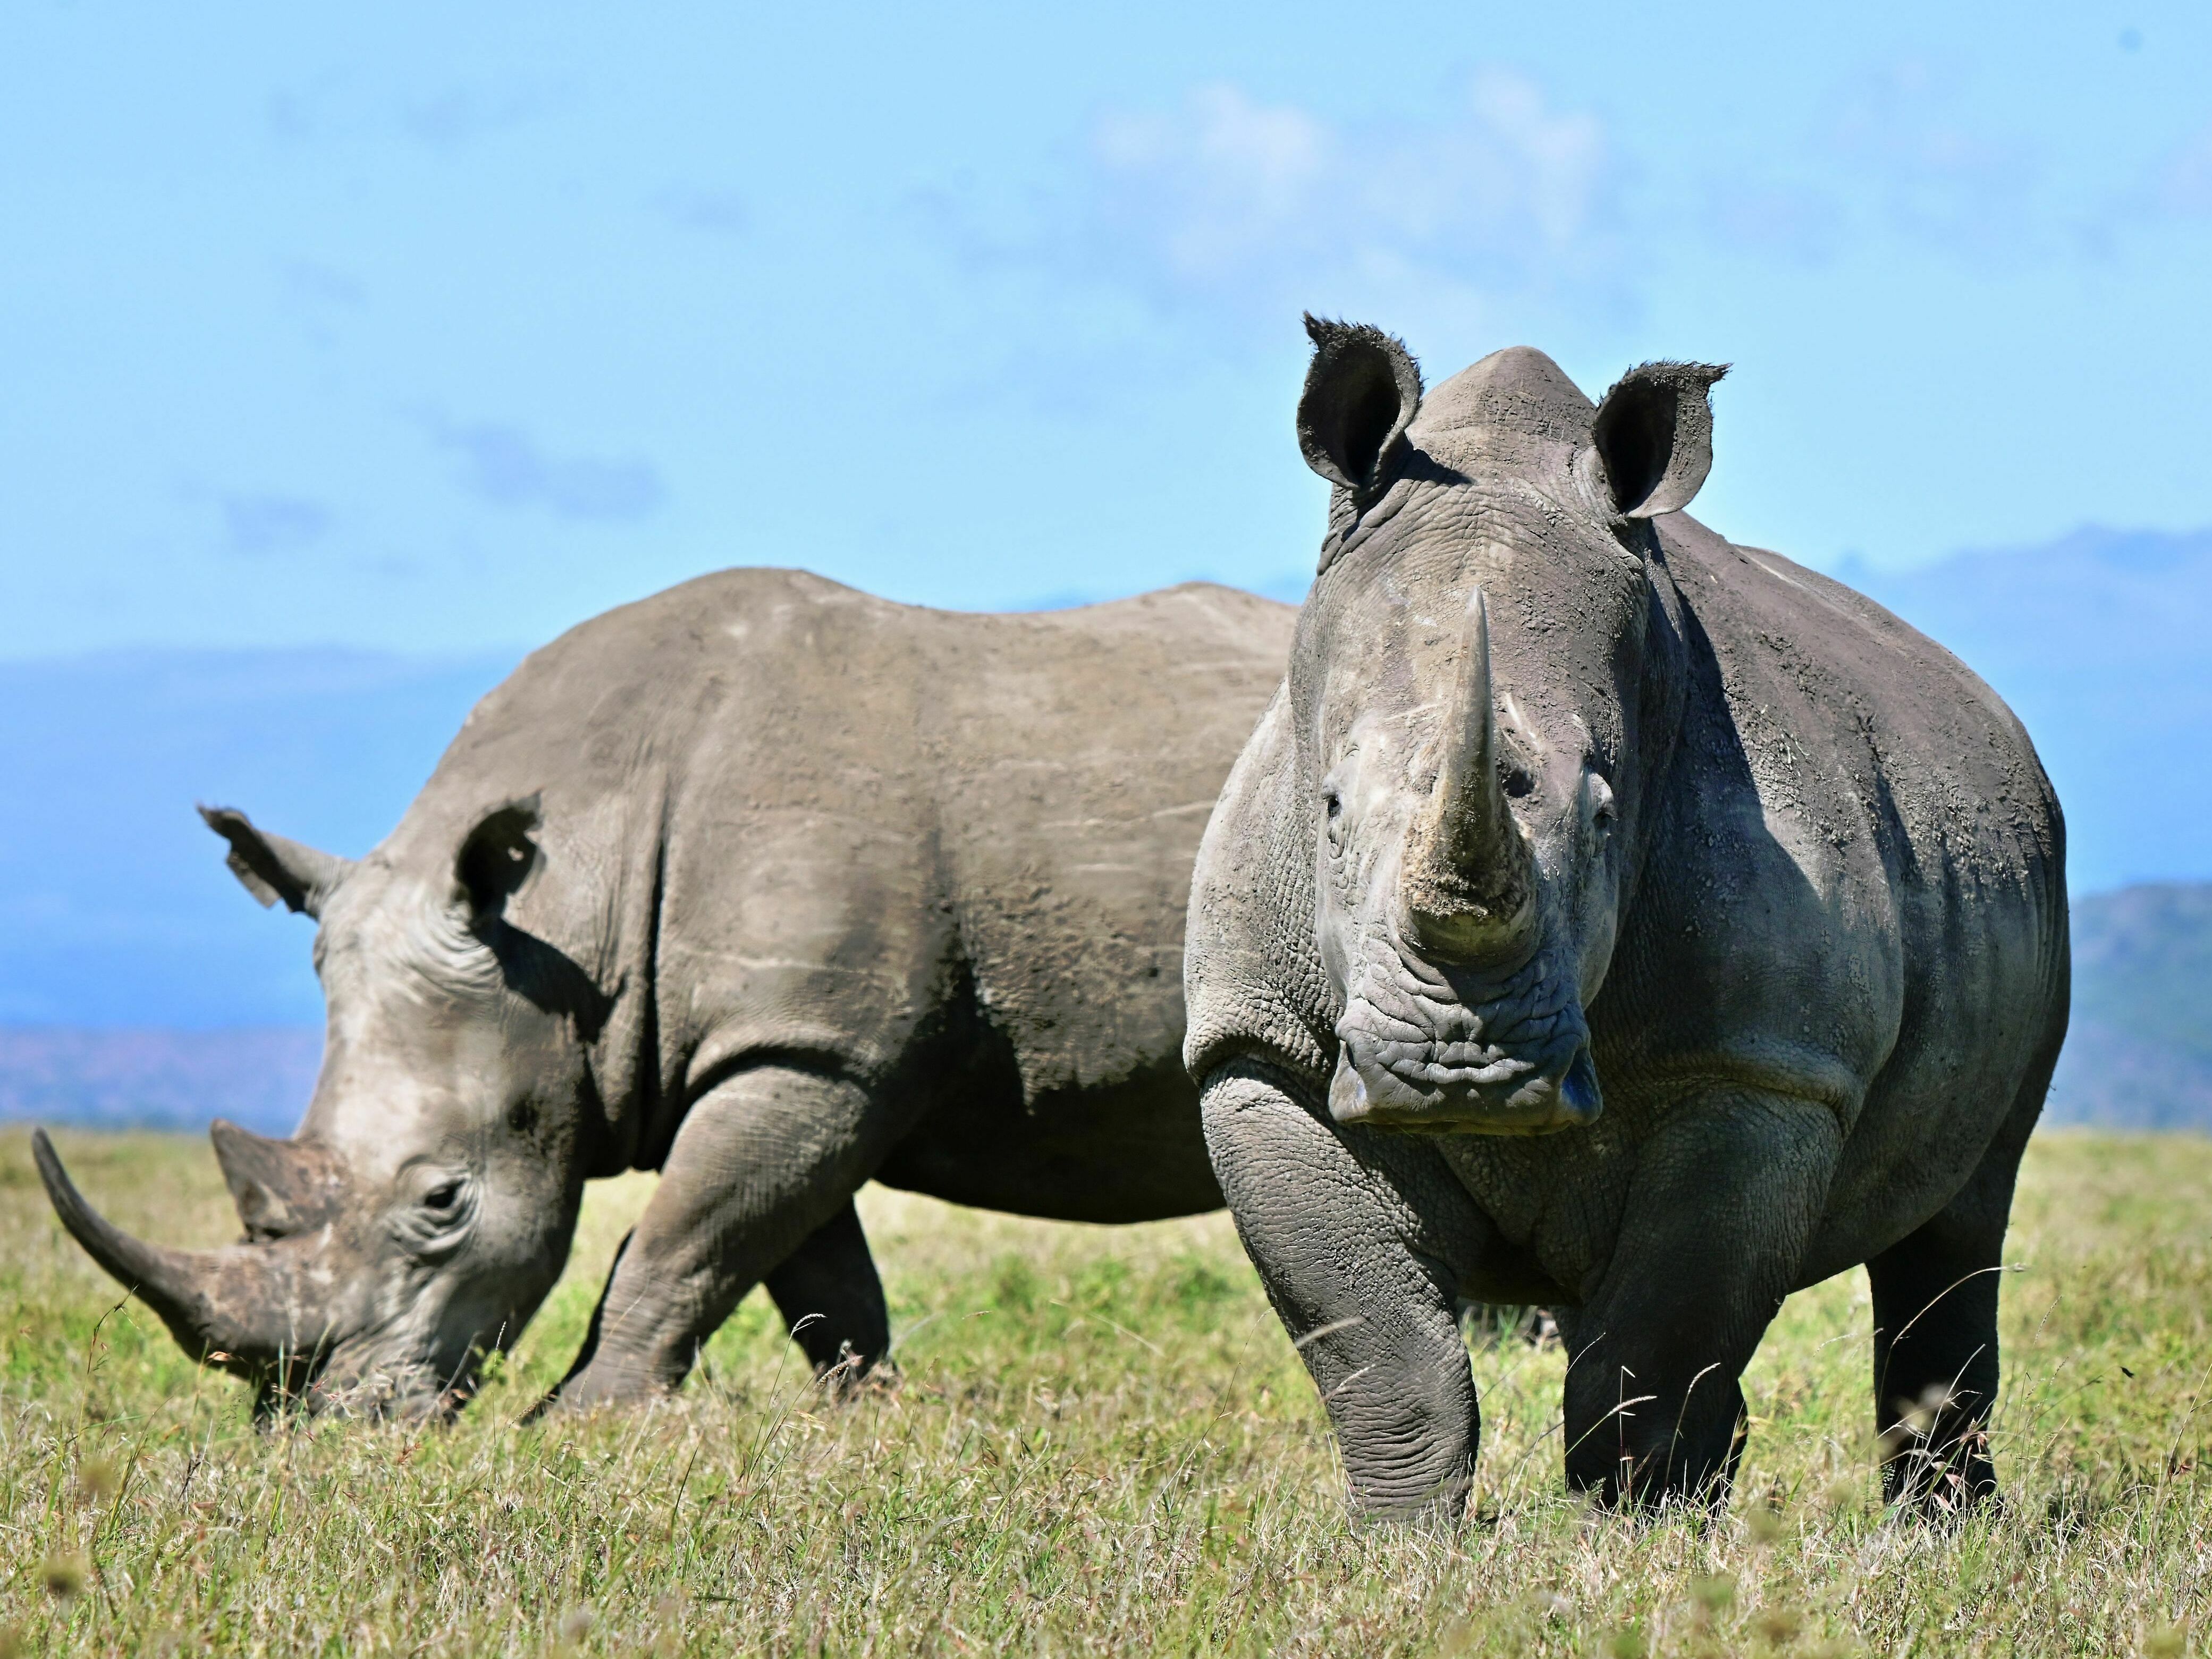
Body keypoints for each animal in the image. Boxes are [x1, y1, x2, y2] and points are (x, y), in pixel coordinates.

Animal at [35, 569, 1295, 1417]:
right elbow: (804, 1265)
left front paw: (574, 1425)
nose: (323, 1421)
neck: (559, 919)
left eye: (444, 1200)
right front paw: (871, 1421)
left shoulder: (813, 1048)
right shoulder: (803, 1049)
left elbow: (683, 1241)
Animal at [1183, 319, 2068, 1520]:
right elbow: (1386, 1352)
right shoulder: (1258, 1049)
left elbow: (1654, 1347)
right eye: (1325, 807)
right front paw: (1398, 1543)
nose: (1461, 1075)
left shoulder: (1761, 1068)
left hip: (2028, 870)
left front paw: (1632, 1536)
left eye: (1606, 816)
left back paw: (1941, 1533)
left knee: (1960, 1221)